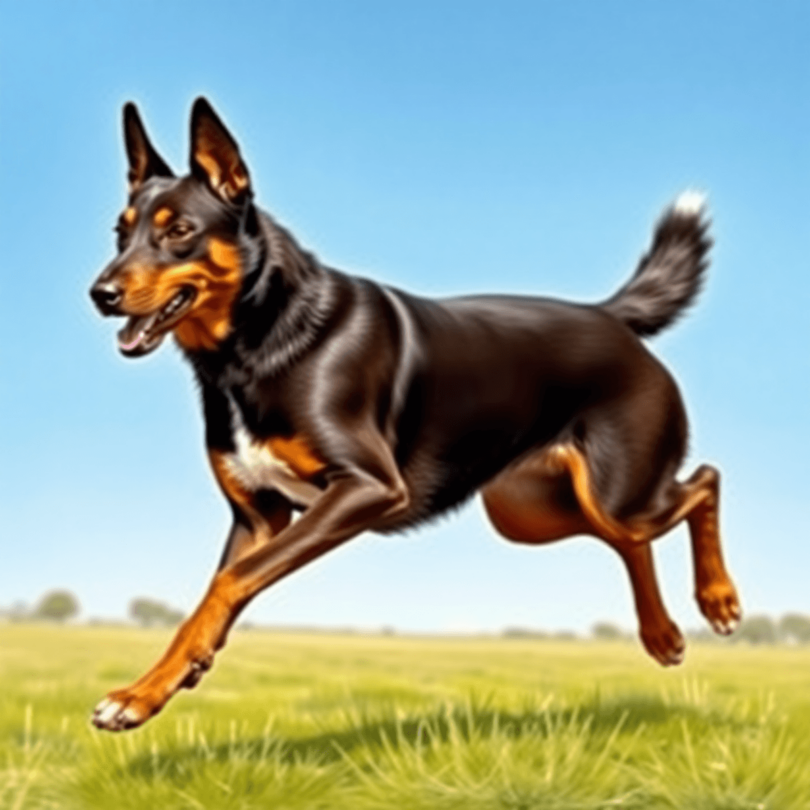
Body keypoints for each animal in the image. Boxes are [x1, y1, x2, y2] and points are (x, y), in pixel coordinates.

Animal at [87, 98, 740, 728]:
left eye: (180, 231)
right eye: (119, 234)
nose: (100, 294)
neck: (262, 338)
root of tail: (609, 316)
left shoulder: (366, 486)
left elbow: (229, 582)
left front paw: (147, 692)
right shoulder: (260, 515)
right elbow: (210, 599)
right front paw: (148, 691)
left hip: (611, 492)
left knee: (703, 483)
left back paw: (719, 599)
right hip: (536, 510)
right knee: (632, 539)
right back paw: (662, 635)